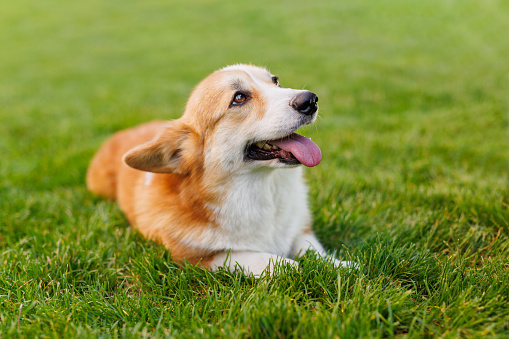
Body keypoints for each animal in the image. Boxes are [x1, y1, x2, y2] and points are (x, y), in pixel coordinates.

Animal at [88, 64, 350, 276]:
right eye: (239, 98)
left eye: (275, 81)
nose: (311, 100)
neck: (260, 190)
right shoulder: (194, 258)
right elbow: (252, 257)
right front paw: (289, 265)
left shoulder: (301, 229)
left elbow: (313, 250)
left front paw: (341, 265)